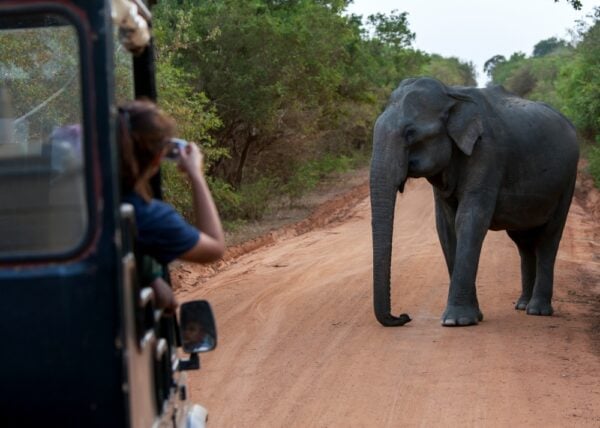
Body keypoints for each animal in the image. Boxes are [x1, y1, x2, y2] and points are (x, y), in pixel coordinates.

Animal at [368, 77, 580, 326]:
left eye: (410, 133)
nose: (404, 316)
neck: (451, 96)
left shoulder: (487, 153)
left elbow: (469, 220)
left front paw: (456, 321)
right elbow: (446, 226)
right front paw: (472, 317)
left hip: (568, 180)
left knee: (549, 237)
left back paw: (537, 310)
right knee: (523, 242)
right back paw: (522, 305)